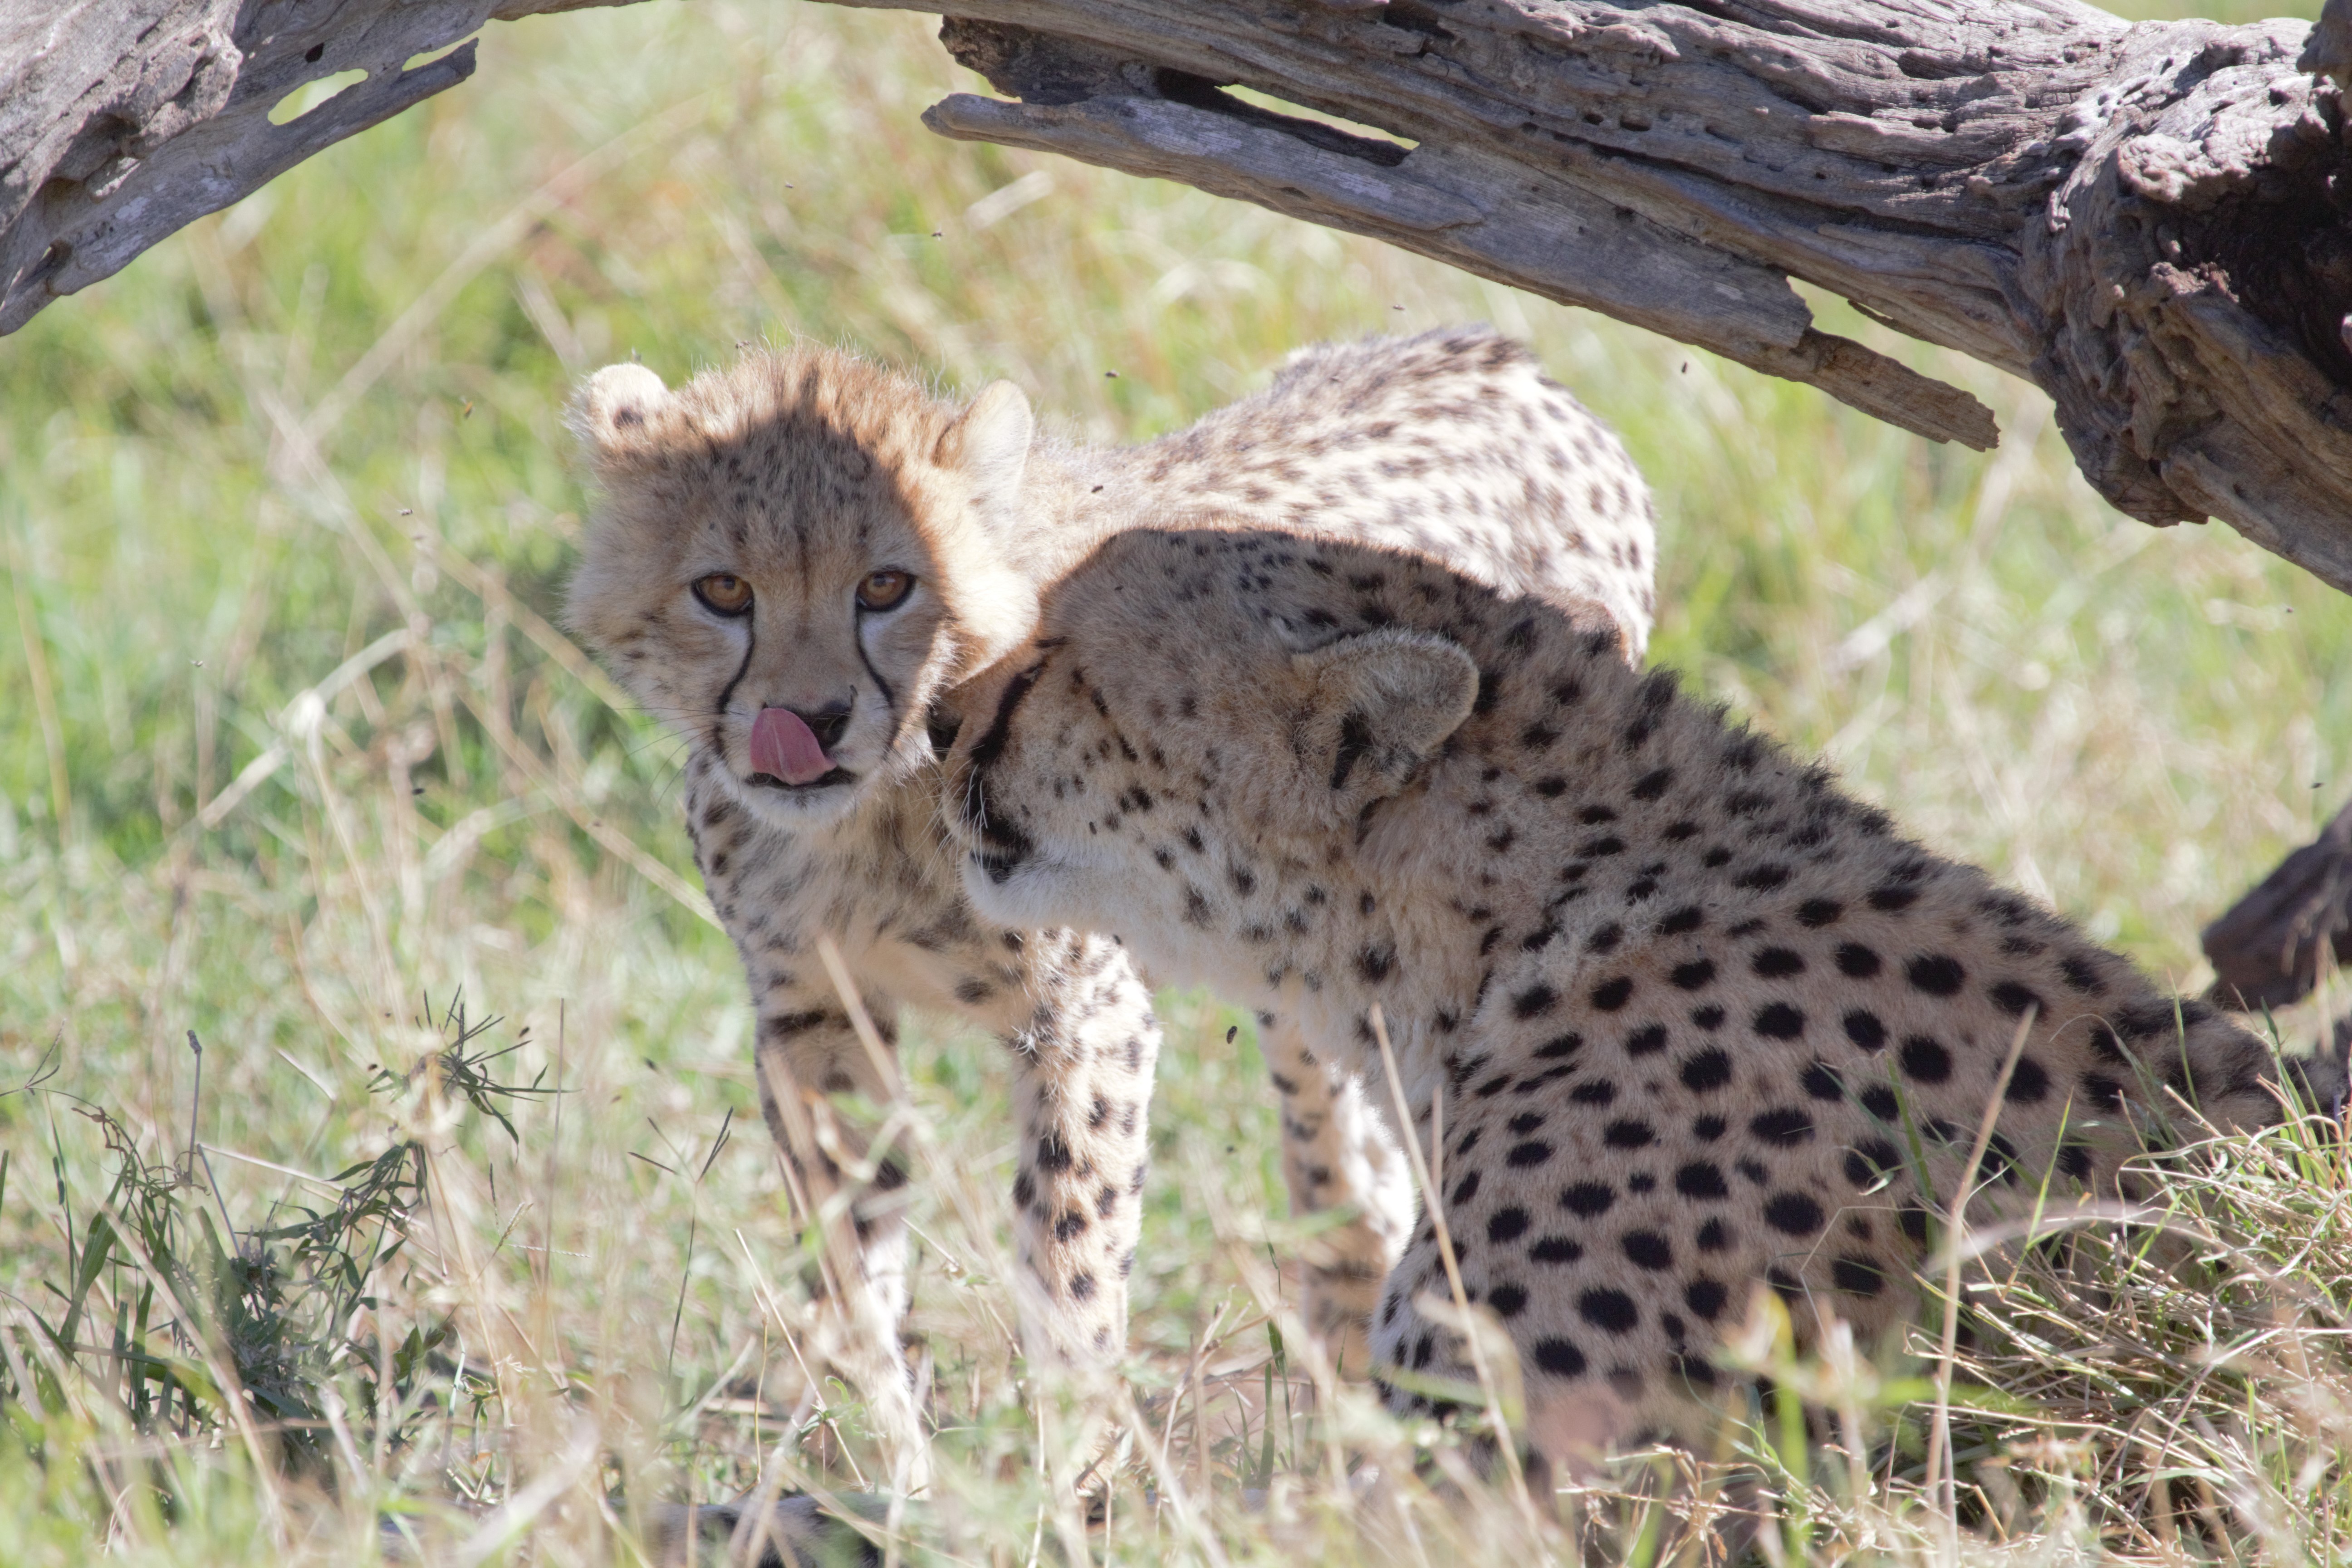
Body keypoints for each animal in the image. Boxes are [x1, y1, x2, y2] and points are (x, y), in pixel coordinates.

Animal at [562, 333, 1665, 1448]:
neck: (867, 817)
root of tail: (1490, 350)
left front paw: (1072, 1461)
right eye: (723, 591)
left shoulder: (1087, 1017)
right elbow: (851, 1268)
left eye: (885, 586)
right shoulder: (815, 1014)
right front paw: (889, 1451)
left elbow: (1072, 1267)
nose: (810, 720)